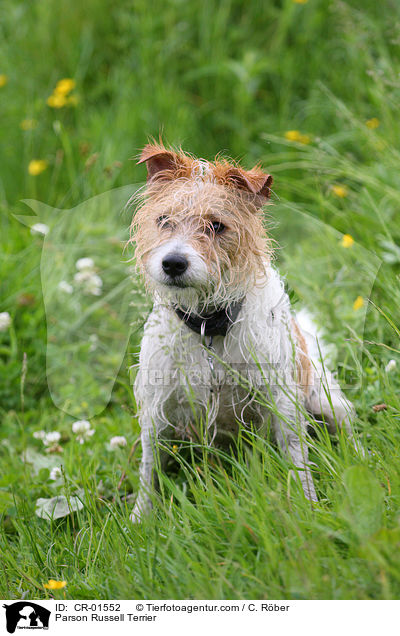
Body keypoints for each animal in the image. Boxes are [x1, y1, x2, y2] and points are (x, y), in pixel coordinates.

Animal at [130, 144, 358, 520]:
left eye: (217, 226)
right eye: (164, 221)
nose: (173, 263)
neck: (209, 327)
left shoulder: (282, 402)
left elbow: (297, 458)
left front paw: (307, 506)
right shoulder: (156, 409)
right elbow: (149, 470)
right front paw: (140, 518)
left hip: (327, 402)